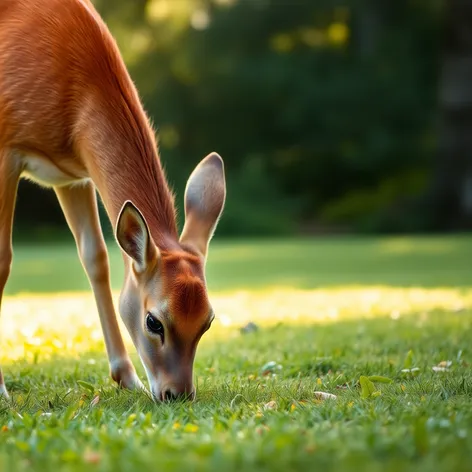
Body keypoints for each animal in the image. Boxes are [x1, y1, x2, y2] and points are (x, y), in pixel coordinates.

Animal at [0, 0, 226, 402]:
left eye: (208, 321)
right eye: (154, 321)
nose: (177, 393)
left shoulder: (73, 173)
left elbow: (96, 257)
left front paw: (127, 377)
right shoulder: (6, 148)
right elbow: (2, 259)